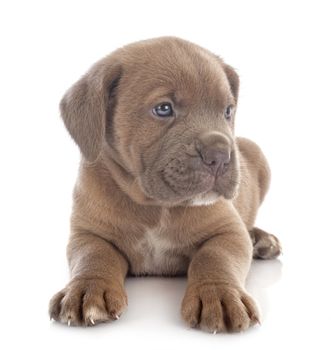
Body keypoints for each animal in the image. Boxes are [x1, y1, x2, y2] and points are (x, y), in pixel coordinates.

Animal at [49, 37, 282, 332]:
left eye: (228, 111)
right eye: (164, 109)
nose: (220, 155)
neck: (155, 206)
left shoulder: (228, 231)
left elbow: (215, 257)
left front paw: (219, 295)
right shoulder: (89, 234)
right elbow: (93, 257)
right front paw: (86, 289)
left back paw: (261, 239)